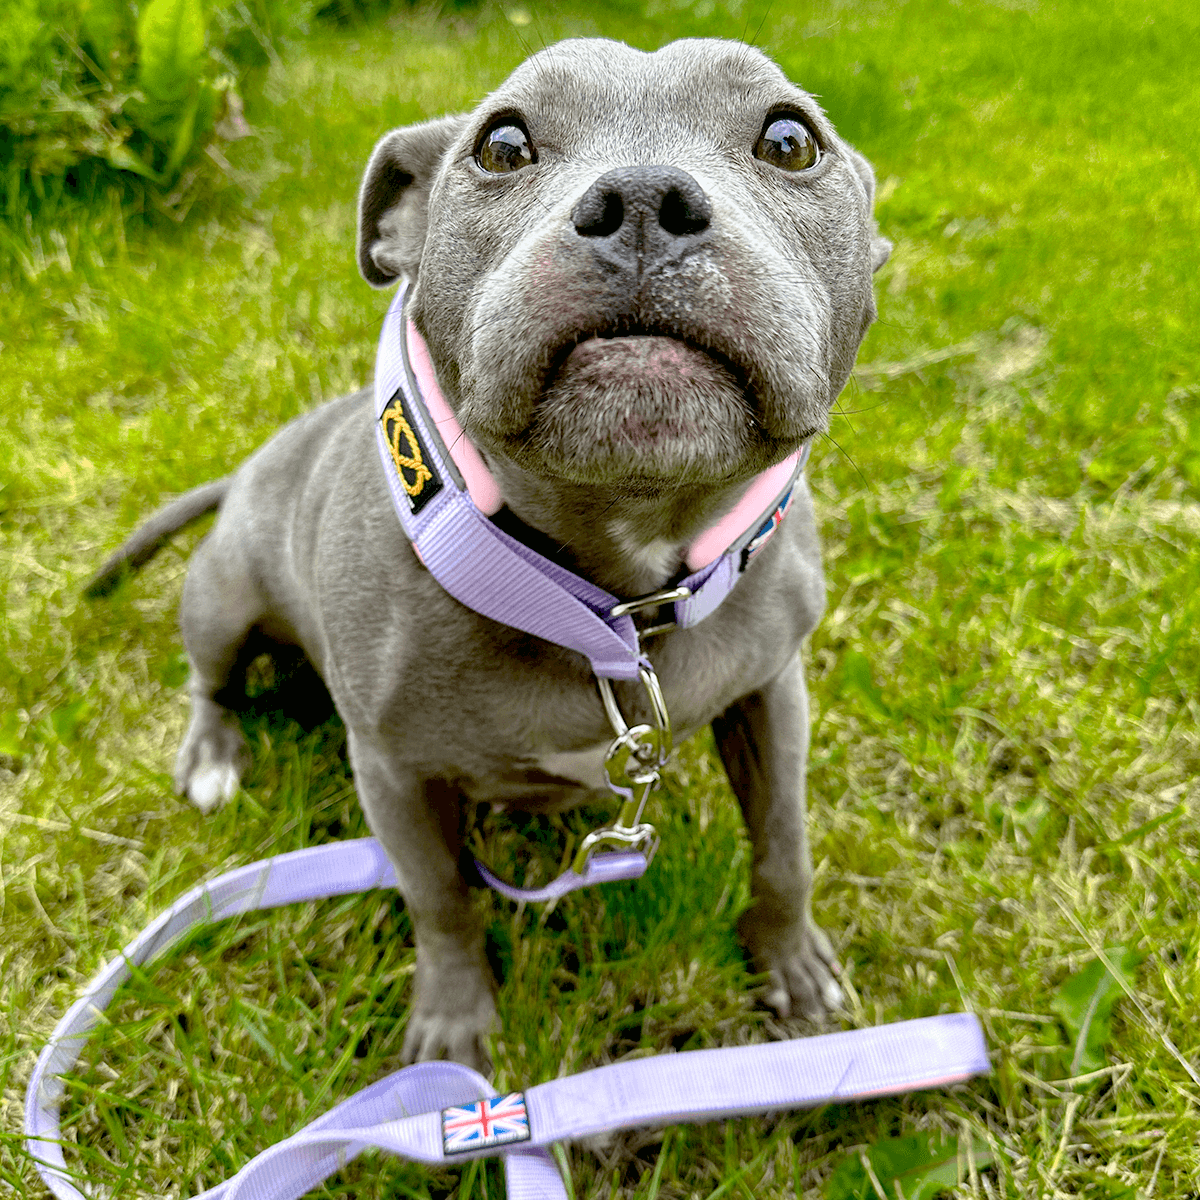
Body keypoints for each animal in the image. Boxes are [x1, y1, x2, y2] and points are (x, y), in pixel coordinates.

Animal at [88, 37, 888, 1075]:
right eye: (503, 145)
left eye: (789, 140)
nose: (641, 197)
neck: (612, 598)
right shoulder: (393, 773)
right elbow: (440, 897)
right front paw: (451, 1025)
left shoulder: (771, 692)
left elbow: (783, 839)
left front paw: (791, 961)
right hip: (224, 599)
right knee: (211, 680)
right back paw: (215, 755)